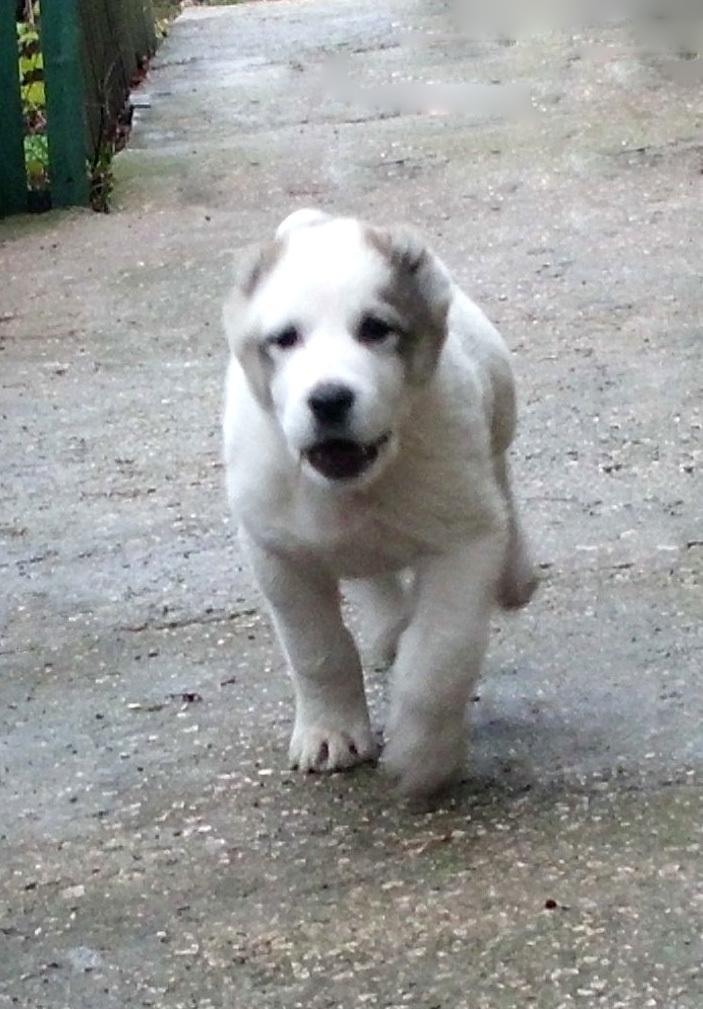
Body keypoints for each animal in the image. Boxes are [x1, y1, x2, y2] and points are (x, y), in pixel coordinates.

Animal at [221, 208, 536, 799]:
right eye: (285, 338)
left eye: (375, 329)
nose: (328, 399)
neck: (361, 487)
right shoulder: (278, 552)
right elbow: (317, 648)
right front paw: (331, 732)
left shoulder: (464, 542)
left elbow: (439, 656)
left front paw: (423, 757)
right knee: (374, 579)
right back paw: (391, 628)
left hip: (498, 405)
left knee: (501, 478)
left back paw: (516, 572)